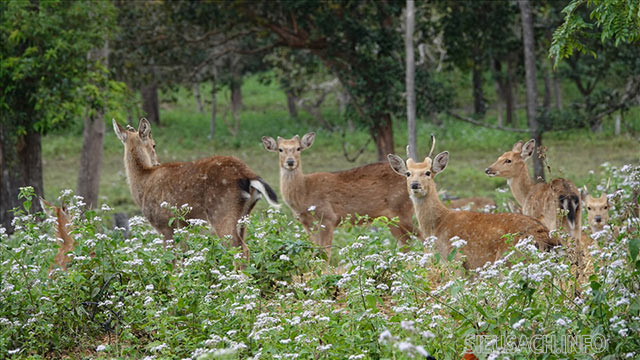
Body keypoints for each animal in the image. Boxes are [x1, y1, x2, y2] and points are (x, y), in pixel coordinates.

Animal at [114, 118, 278, 258]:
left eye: (154, 144)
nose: (157, 162)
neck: (143, 181)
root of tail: (249, 176)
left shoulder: (164, 224)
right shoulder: (183, 227)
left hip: (222, 211)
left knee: (239, 248)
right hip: (245, 216)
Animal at [262, 132, 420, 258]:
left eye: (298, 148)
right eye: (280, 149)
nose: (290, 162)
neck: (304, 193)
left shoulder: (328, 218)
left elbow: (325, 254)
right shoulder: (306, 223)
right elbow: (314, 252)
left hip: (402, 210)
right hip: (391, 219)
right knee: (406, 243)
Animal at [384, 138, 556, 270]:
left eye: (428, 172)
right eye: (408, 173)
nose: (415, 185)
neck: (438, 225)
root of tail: (544, 236)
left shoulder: (456, 260)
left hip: (511, 259)